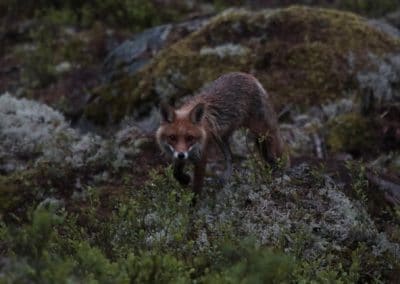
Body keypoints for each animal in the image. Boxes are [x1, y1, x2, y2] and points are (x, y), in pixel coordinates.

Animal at [155, 72, 286, 194]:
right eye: (172, 137)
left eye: (190, 137)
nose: (181, 155)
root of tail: (249, 76)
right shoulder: (179, 155)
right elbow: (175, 173)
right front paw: (184, 179)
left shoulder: (201, 158)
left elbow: (197, 187)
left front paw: (194, 201)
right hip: (222, 138)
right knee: (230, 157)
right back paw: (227, 178)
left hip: (258, 129)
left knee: (272, 141)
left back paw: (274, 167)